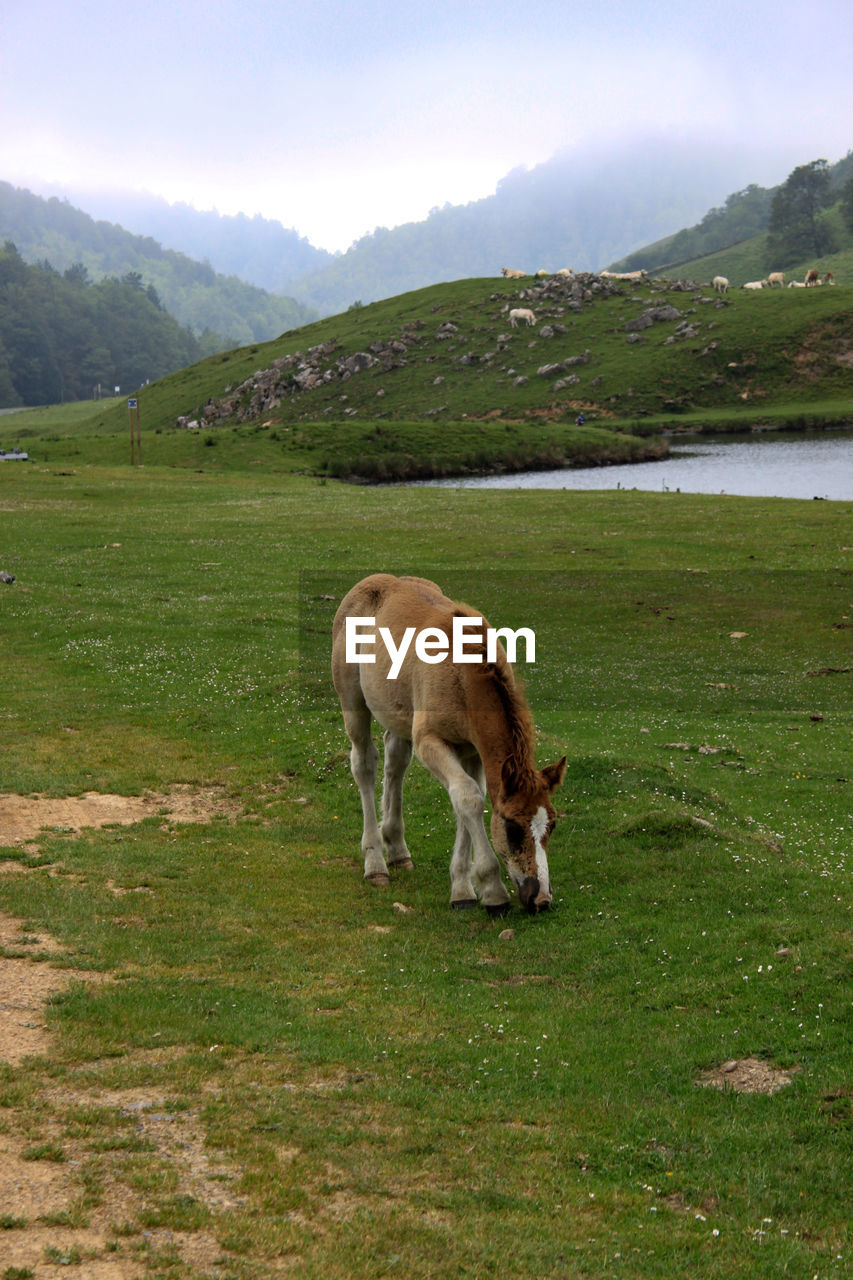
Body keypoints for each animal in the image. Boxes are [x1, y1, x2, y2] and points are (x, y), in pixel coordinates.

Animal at [330, 576, 563, 916]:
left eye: (552, 826)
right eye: (512, 827)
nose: (540, 898)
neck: (463, 677)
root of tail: (371, 582)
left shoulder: (473, 750)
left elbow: (467, 801)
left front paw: (463, 889)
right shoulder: (430, 740)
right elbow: (467, 797)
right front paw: (493, 891)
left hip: (399, 711)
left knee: (395, 761)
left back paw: (397, 850)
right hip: (353, 701)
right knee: (364, 765)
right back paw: (375, 863)